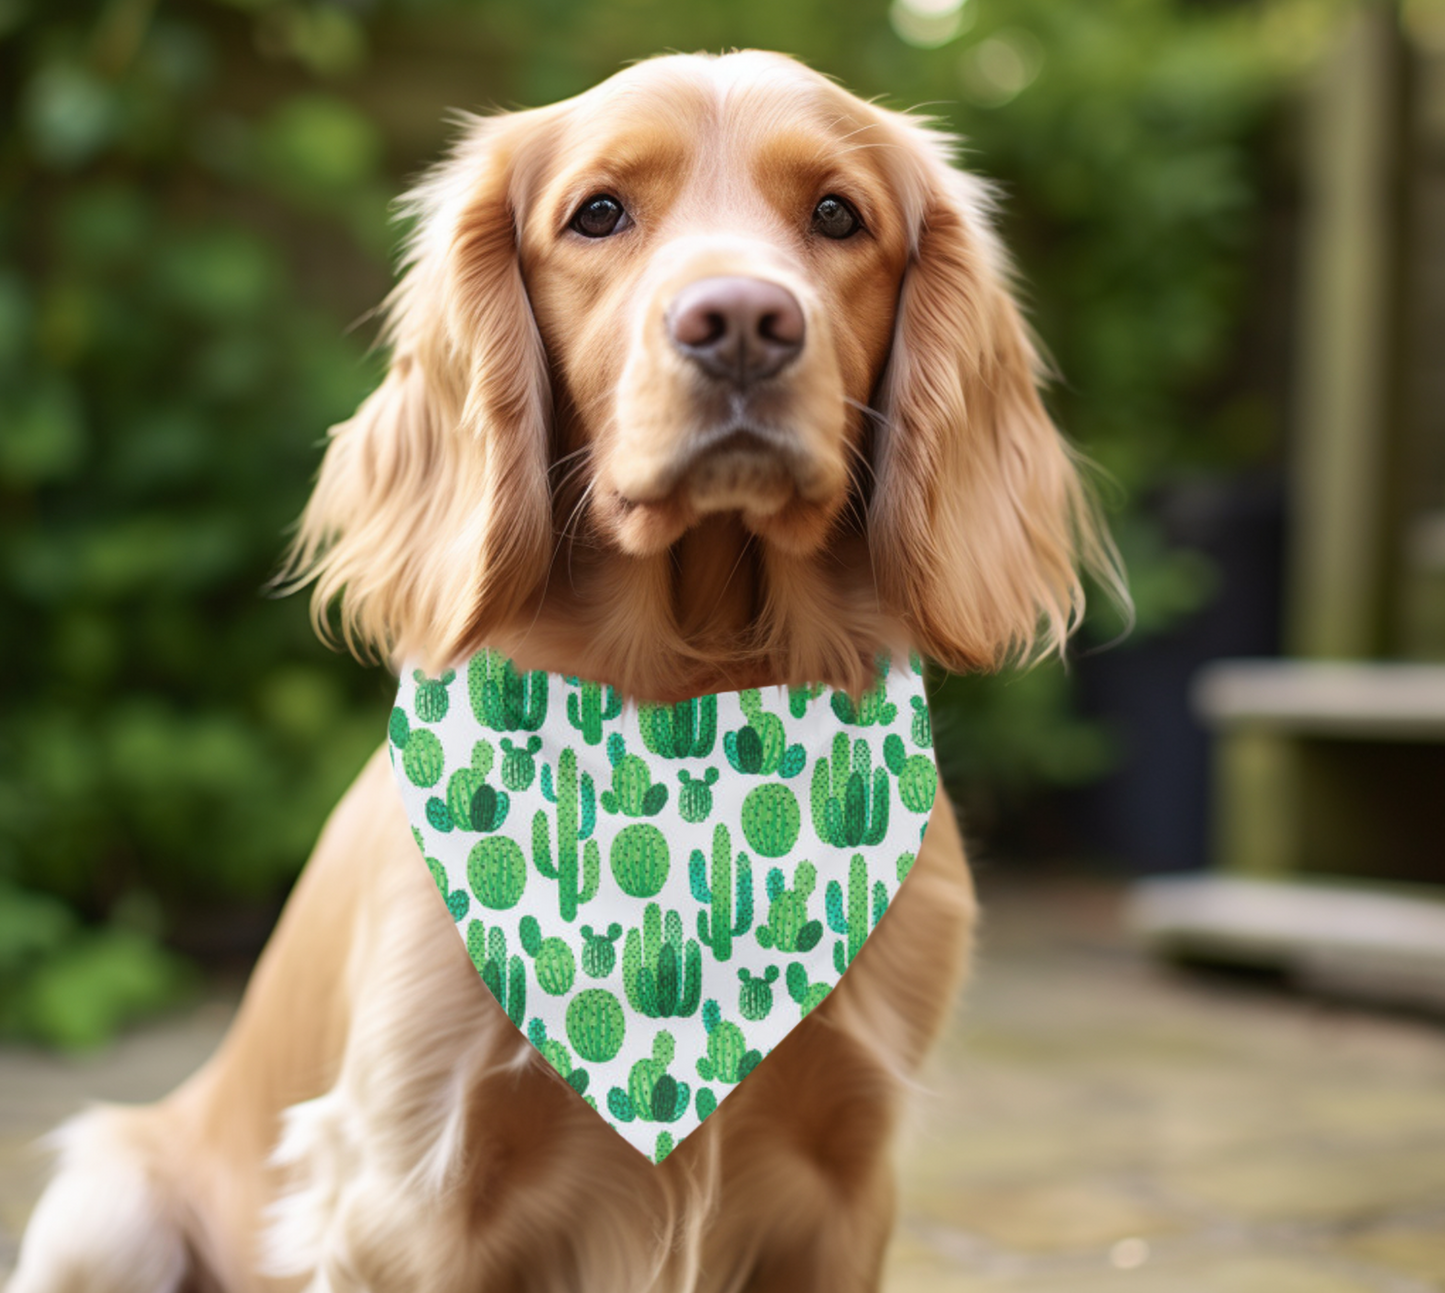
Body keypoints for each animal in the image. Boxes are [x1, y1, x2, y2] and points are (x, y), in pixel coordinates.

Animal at [8, 50, 1115, 1293]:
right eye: (598, 214)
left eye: (837, 215)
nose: (740, 323)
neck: (690, 703)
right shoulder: (409, 1190)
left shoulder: (844, 1184)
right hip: (106, 1203)